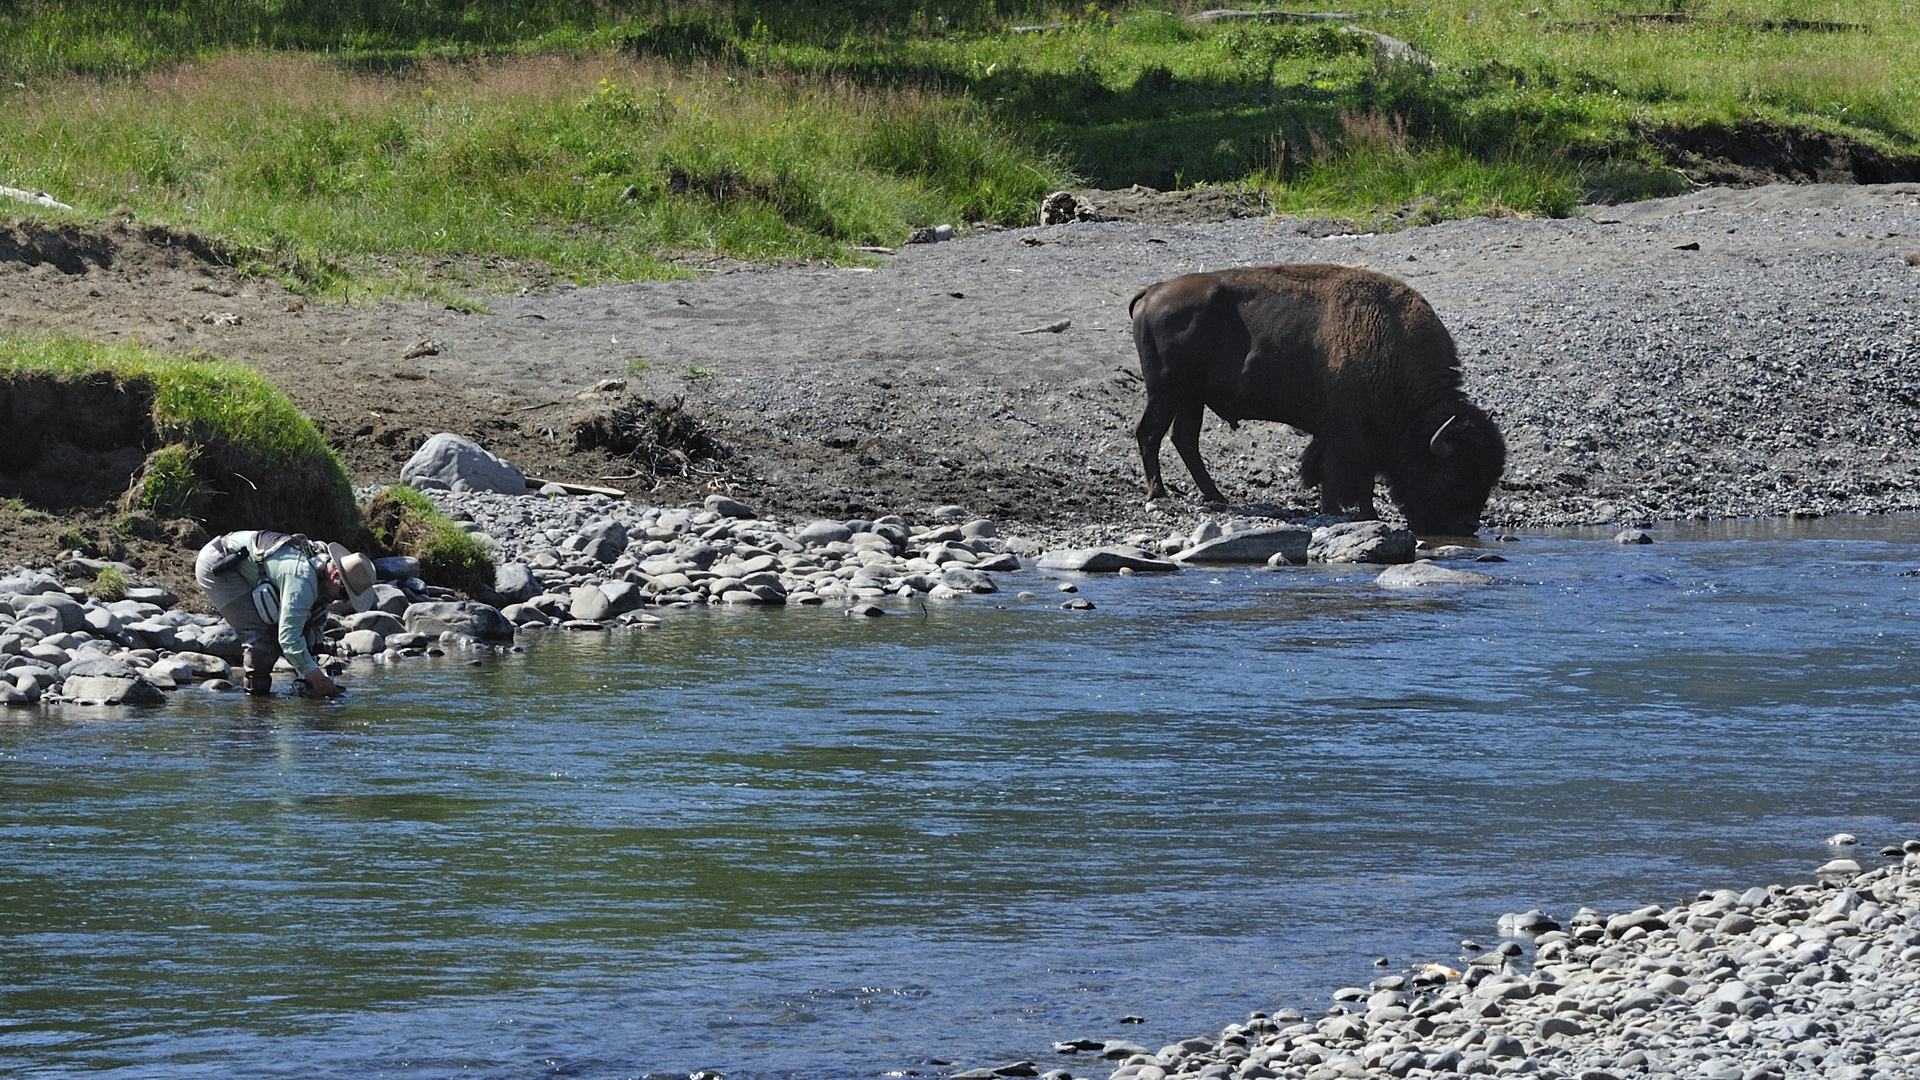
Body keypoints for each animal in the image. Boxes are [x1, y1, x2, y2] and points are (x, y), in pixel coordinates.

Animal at [1128, 261, 1505, 530]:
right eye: (1452, 474)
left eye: (1489, 475)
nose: (1468, 526)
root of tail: (1151, 292)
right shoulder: (1346, 434)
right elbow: (1346, 475)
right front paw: (1349, 511)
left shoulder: (1340, 434)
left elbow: (1336, 472)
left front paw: (1350, 510)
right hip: (1166, 390)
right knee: (1150, 433)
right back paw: (1159, 492)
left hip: (1191, 397)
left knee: (1183, 439)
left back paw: (1216, 496)